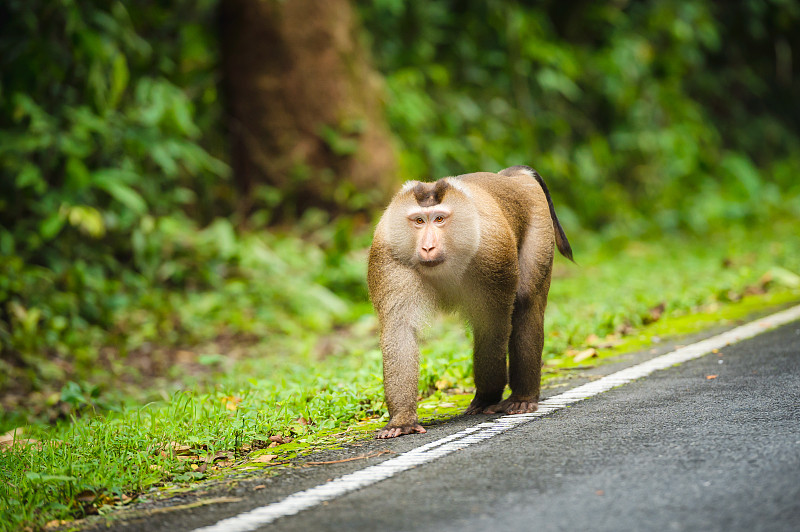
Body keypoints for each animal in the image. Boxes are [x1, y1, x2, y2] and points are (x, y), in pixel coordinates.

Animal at [366, 164, 572, 438]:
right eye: (419, 221)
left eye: (439, 219)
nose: (428, 247)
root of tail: (512, 177)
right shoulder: (388, 254)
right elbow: (400, 330)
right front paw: (402, 420)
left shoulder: (493, 253)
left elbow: (492, 325)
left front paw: (488, 395)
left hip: (539, 221)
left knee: (527, 305)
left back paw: (523, 397)